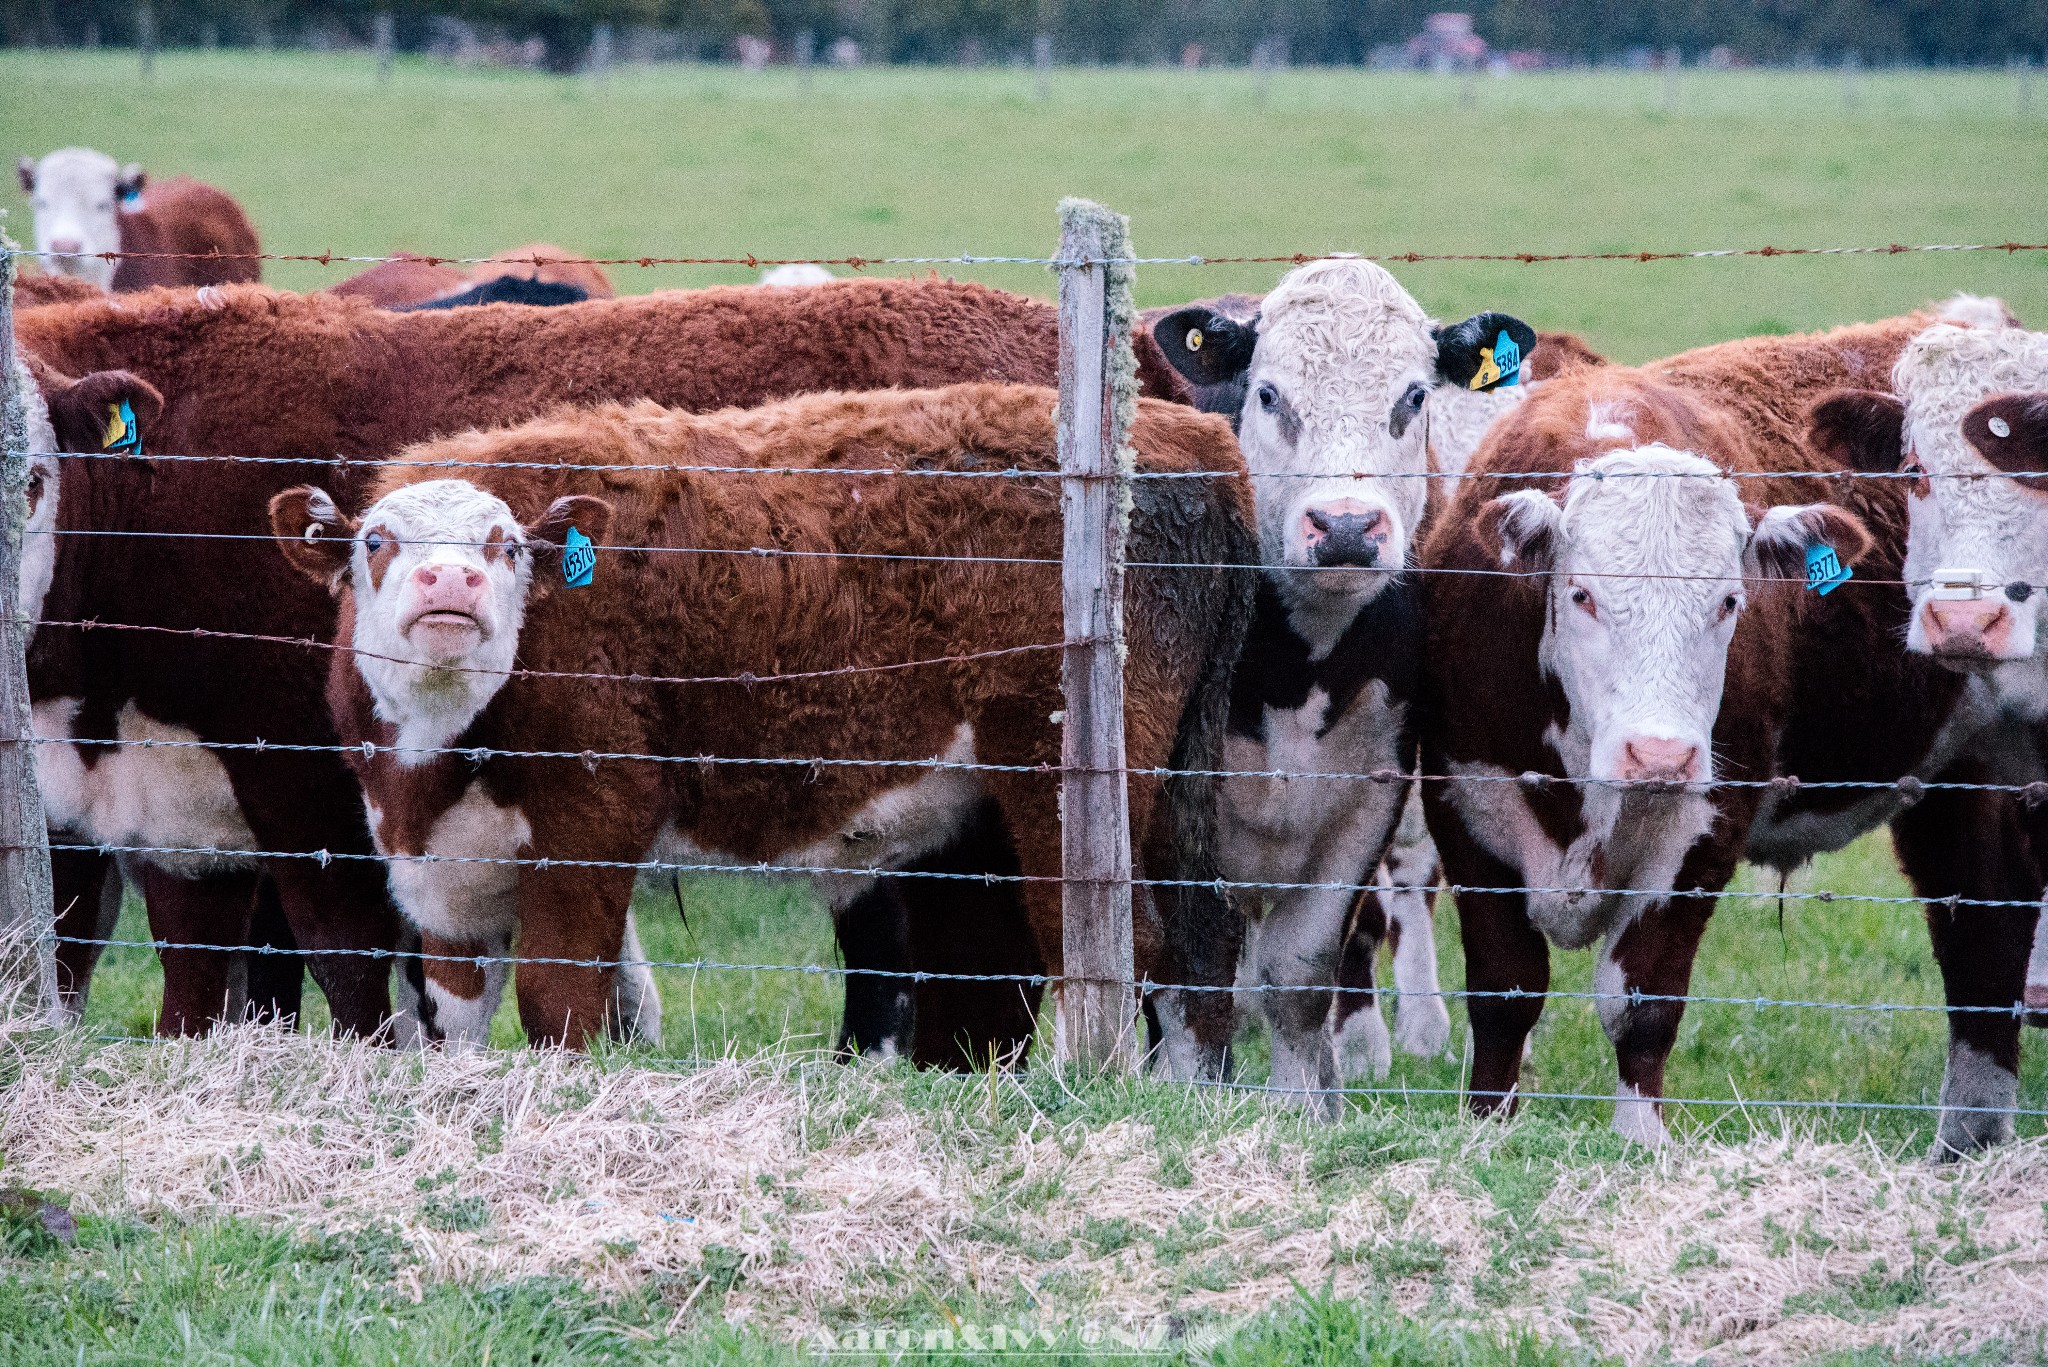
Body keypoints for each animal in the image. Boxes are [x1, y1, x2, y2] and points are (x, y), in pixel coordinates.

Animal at [272, 385, 1253, 1057]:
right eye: (376, 541)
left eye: (505, 545)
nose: (452, 581)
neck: (441, 753)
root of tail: (1193, 438)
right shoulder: (443, 876)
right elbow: (455, 1011)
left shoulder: (595, 822)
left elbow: (560, 998)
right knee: (1194, 950)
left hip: (1069, 789)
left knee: (1111, 950)